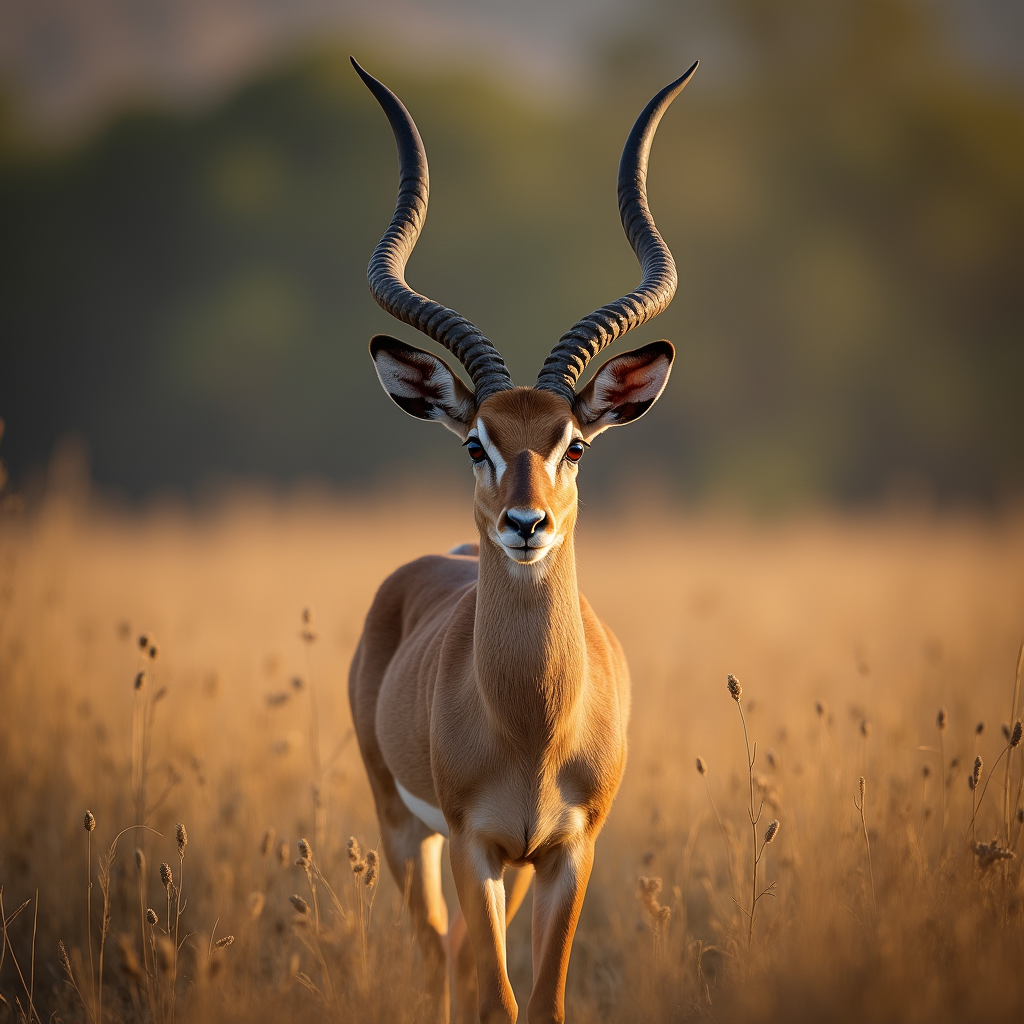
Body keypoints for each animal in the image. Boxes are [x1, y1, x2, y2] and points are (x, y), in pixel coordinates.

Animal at [348, 56, 697, 1024]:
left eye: (573, 443)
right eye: (477, 442)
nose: (525, 524)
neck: (533, 729)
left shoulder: (568, 853)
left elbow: (541, 1002)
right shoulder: (476, 846)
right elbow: (498, 1000)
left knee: (461, 957)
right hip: (404, 829)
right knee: (440, 958)